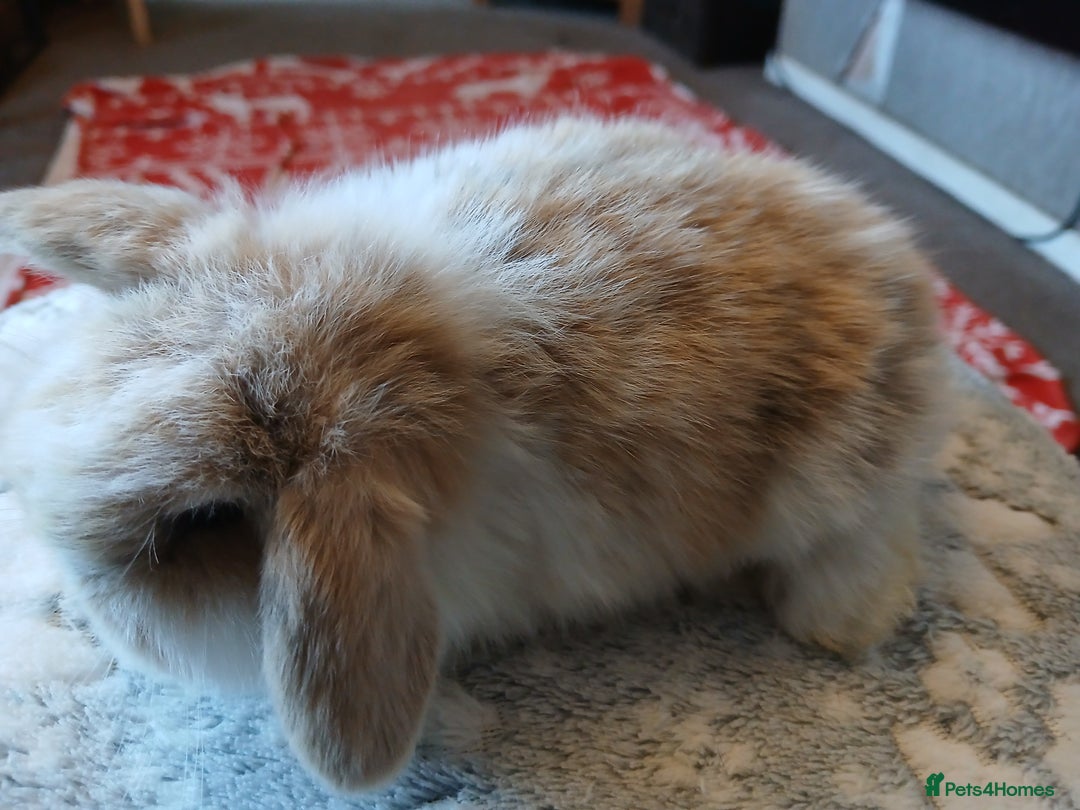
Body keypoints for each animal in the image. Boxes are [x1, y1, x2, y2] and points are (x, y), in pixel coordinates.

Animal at [0, 116, 949, 793]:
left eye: (197, 525)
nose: (88, 610)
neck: (402, 347)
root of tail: (908, 279)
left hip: (836, 485)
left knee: (881, 532)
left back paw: (837, 620)